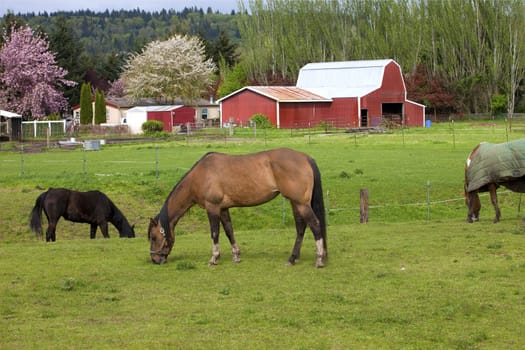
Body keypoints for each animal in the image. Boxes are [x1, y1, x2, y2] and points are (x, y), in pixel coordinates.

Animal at [149, 148, 326, 268]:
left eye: (153, 237)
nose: (155, 260)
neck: (201, 175)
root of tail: (305, 158)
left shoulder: (212, 208)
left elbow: (215, 233)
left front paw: (214, 258)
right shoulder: (223, 209)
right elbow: (229, 231)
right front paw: (236, 256)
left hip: (301, 204)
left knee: (315, 225)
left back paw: (319, 259)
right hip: (295, 203)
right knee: (301, 228)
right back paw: (292, 258)